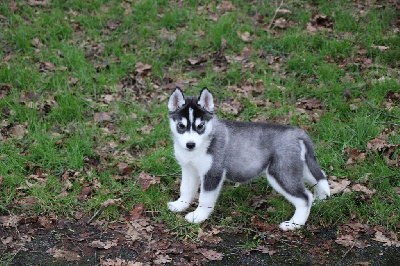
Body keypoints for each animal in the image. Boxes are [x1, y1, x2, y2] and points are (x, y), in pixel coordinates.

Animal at [167, 88, 330, 231]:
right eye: (181, 126)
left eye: (200, 126)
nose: (190, 144)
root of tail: (298, 133)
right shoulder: (189, 169)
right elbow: (185, 189)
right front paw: (180, 204)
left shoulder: (213, 172)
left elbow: (205, 198)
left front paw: (198, 216)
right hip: (299, 168)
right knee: (319, 178)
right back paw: (319, 202)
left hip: (282, 173)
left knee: (305, 198)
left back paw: (294, 224)